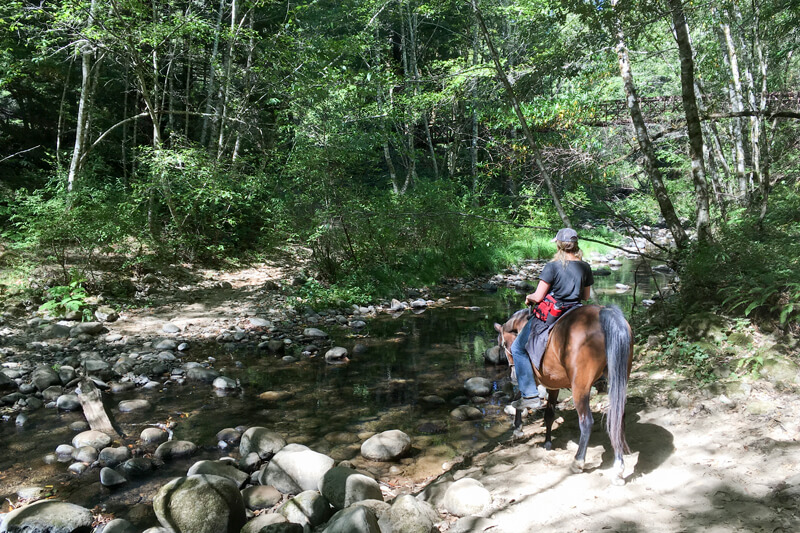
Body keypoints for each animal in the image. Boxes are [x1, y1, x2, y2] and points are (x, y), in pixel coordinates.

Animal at [494, 304, 632, 482]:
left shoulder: (535, 379)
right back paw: (618, 467)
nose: (512, 376)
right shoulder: (553, 384)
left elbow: (521, 396)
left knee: (586, 422)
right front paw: (547, 442)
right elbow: (549, 414)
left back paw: (578, 462)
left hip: (580, 388)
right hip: (617, 378)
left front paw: (518, 427)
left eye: (503, 344)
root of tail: (603, 312)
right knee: (617, 418)